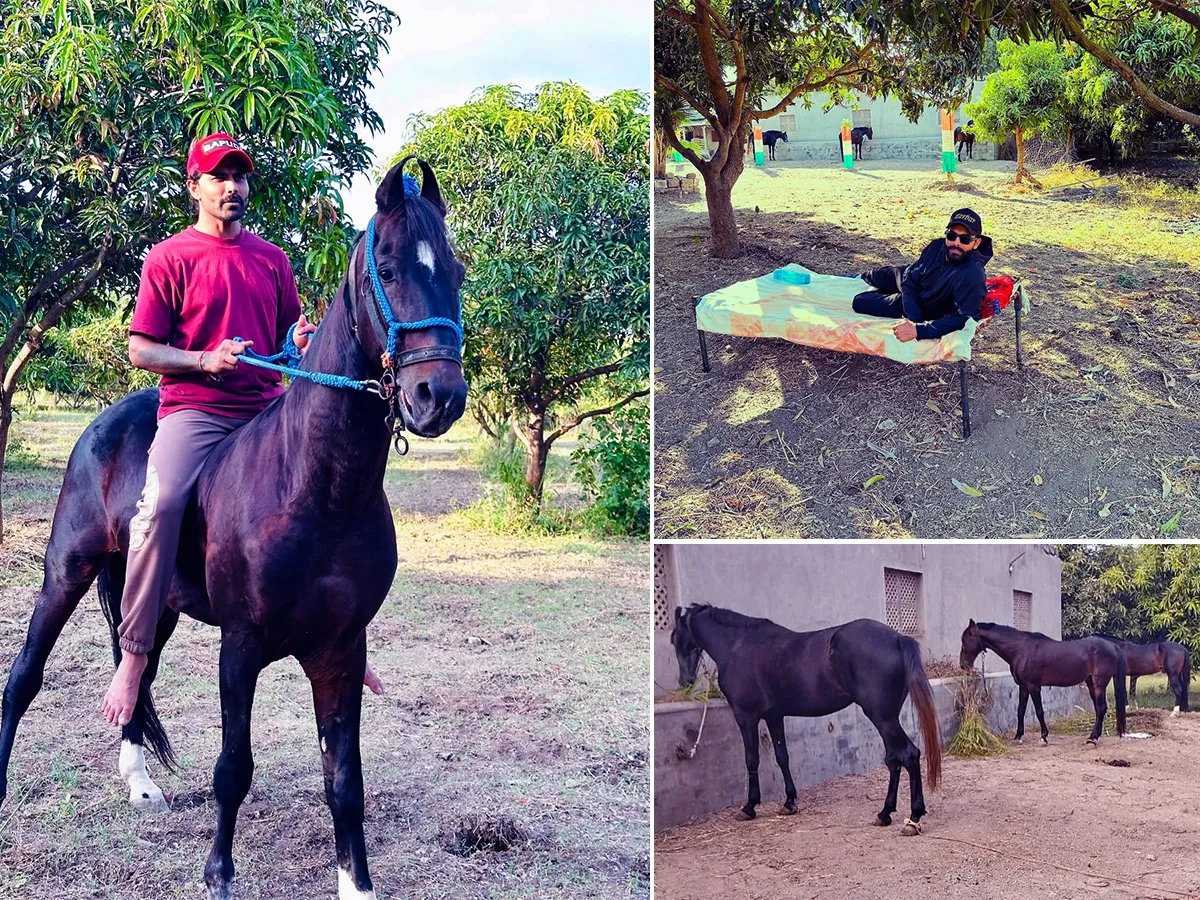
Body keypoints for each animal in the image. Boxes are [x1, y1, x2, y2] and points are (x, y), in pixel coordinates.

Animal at [0, 158, 468, 897]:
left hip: (157, 600)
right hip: (65, 572)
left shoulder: (341, 649)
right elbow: (233, 768)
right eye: (389, 269)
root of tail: (107, 422)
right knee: (24, 675)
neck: (317, 490)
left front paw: (356, 883)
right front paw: (218, 873)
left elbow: (344, 782)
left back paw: (139, 783)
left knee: (136, 661)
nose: (439, 397)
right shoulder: (240, 647)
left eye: (456, 271)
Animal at [676, 607, 936, 840]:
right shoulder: (774, 716)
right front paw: (789, 802)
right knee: (894, 759)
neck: (737, 644)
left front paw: (749, 806)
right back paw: (885, 813)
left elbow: (751, 760)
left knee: (908, 754)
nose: (685, 681)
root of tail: (898, 638)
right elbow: (782, 757)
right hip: (886, 718)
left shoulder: (746, 717)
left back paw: (913, 819)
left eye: (677, 639)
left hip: (882, 718)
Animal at [955, 619, 1123, 748]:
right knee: (1099, 709)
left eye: (965, 640)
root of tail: (1113, 646)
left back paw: (1092, 739)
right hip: (1090, 683)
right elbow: (1020, 711)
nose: (963, 665)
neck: (1021, 649)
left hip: (1099, 682)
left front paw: (1043, 737)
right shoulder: (1023, 687)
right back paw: (1093, 737)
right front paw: (1018, 736)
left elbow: (1039, 711)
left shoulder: (1033, 686)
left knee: (1101, 708)